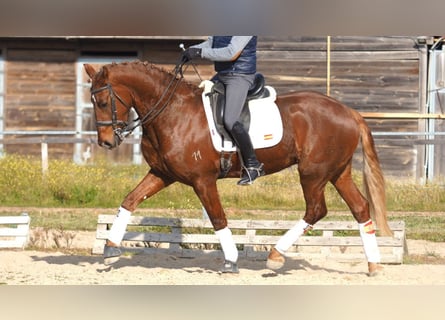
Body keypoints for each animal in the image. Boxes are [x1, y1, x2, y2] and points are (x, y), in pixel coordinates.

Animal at [85, 61, 390, 276]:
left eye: (103, 102)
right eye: (93, 102)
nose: (107, 142)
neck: (172, 111)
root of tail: (349, 111)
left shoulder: (203, 180)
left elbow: (218, 218)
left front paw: (231, 261)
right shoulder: (164, 174)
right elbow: (130, 200)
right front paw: (110, 247)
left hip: (313, 173)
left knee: (316, 210)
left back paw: (275, 255)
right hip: (337, 172)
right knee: (361, 208)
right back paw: (374, 265)